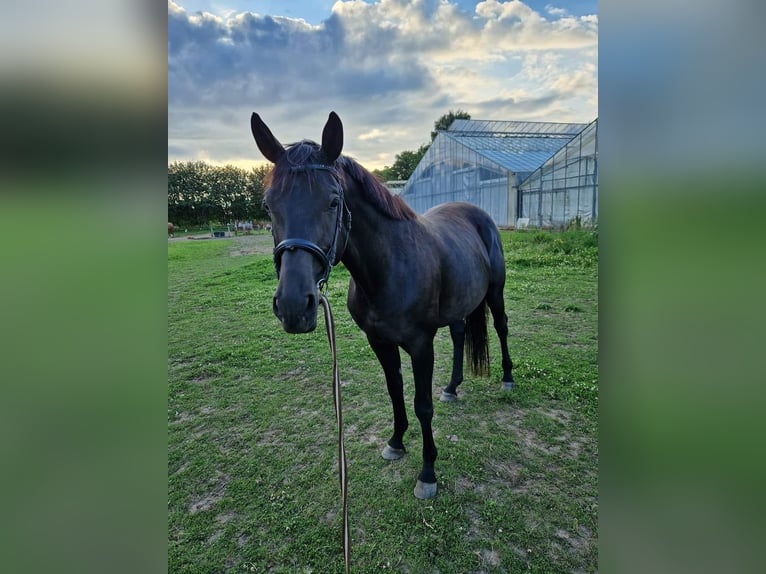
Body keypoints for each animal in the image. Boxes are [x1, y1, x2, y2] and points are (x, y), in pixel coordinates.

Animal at [254, 111, 516, 500]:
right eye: (269, 205)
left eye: (333, 201)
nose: (293, 306)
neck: (389, 268)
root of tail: (477, 213)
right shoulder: (379, 342)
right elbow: (395, 391)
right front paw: (395, 442)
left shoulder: (421, 345)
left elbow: (423, 405)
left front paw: (427, 472)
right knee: (459, 334)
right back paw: (452, 387)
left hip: (495, 293)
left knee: (501, 327)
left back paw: (508, 379)